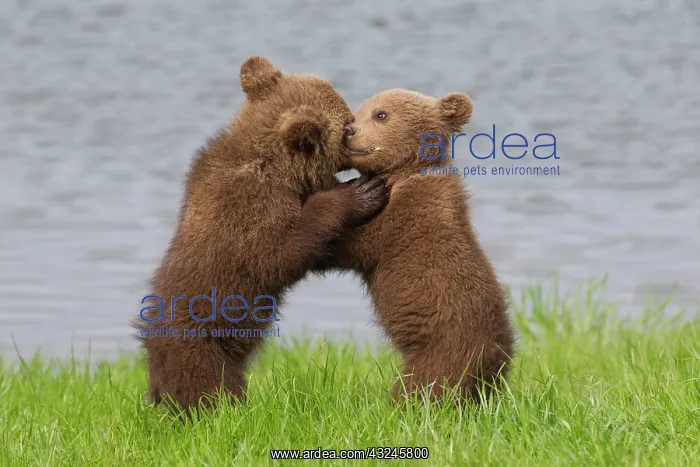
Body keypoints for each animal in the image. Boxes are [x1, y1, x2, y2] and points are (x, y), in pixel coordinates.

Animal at [136, 56, 389, 413]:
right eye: (347, 125)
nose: (356, 129)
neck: (275, 165)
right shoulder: (250, 208)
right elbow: (277, 254)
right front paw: (358, 193)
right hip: (200, 347)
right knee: (207, 389)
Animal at [318, 89, 515, 403]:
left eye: (381, 114)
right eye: (356, 112)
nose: (348, 131)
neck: (405, 170)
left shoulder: (402, 216)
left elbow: (352, 245)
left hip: (442, 354)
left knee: (422, 387)